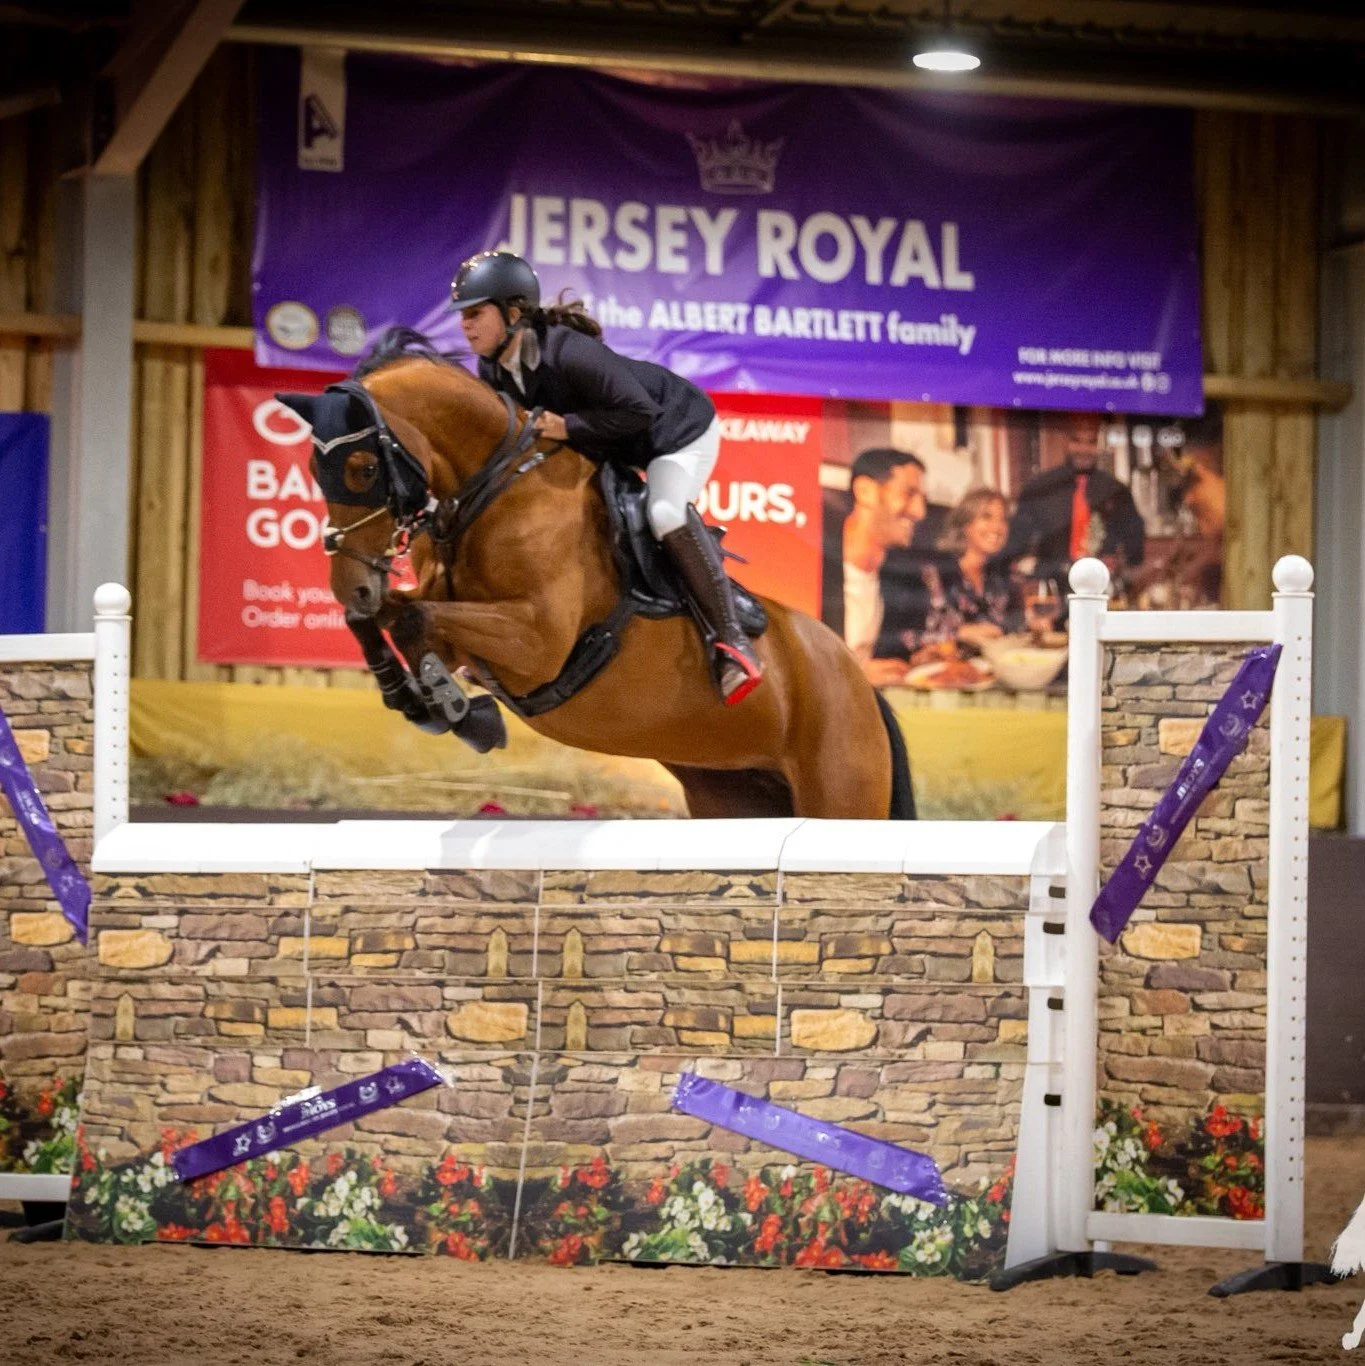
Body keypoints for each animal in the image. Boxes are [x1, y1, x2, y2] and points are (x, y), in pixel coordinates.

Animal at [278, 334, 914, 820]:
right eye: (312, 468)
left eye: (362, 469)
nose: (351, 582)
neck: (494, 485)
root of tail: (862, 687)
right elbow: (383, 617)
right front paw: (411, 694)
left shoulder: (537, 643)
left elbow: (414, 619)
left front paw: (456, 708)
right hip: (734, 793)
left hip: (841, 796)